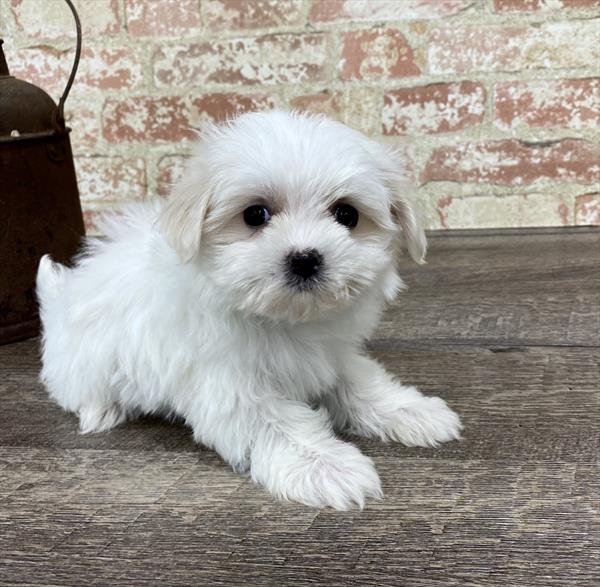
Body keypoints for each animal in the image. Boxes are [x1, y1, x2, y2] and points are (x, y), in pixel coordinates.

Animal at [36, 110, 460, 510]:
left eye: (347, 215)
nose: (305, 259)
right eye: (255, 215)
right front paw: (325, 466)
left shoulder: (331, 355)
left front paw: (412, 411)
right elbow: (278, 424)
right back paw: (102, 411)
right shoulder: (230, 387)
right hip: (82, 366)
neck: (284, 319)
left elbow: (360, 383)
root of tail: (57, 304)